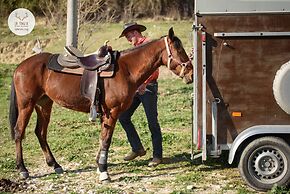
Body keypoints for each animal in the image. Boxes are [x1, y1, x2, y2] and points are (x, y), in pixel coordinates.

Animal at [9, 27, 193, 182]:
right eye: (179, 49)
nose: (191, 73)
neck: (126, 70)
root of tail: (19, 67)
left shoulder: (107, 114)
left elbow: (102, 138)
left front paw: (99, 165)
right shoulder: (112, 112)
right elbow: (106, 140)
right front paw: (104, 172)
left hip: (44, 105)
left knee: (40, 133)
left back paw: (55, 165)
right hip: (26, 105)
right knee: (19, 132)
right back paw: (23, 169)